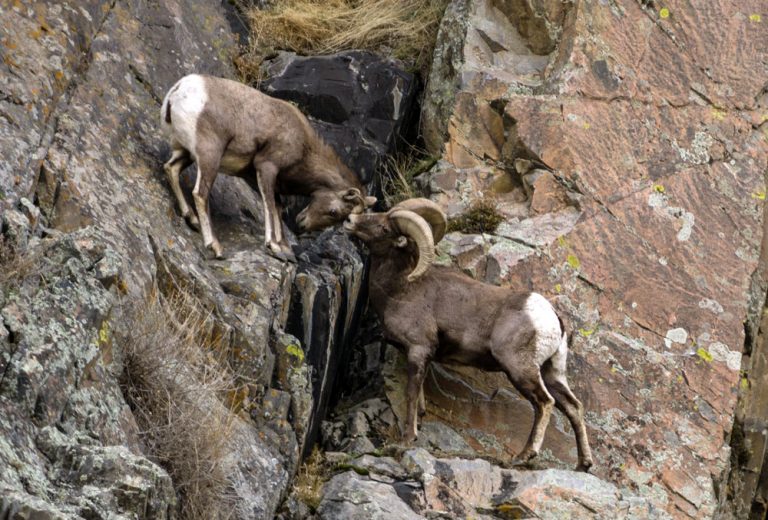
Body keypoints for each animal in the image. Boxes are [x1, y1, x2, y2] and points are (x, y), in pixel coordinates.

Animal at [160, 73, 376, 260]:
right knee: (200, 193)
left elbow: (277, 208)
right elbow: (270, 205)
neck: (304, 149)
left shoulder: (260, 177)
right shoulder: (266, 168)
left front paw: (285, 249)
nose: (302, 225)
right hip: (210, 156)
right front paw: (273, 246)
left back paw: (191, 219)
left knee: (171, 169)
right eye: (334, 212)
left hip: (186, 153)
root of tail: (179, 91)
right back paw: (215, 246)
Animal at [346, 200, 592, 472]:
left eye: (384, 227)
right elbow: (419, 396)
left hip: (520, 369)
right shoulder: (422, 357)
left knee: (544, 403)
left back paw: (524, 456)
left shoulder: (418, 349)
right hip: (553, 372)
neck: (401, 288)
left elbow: (410, 393)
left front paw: (408, 438)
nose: (350, 220)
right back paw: (584, 464)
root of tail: (552, 317)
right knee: (574, 407)